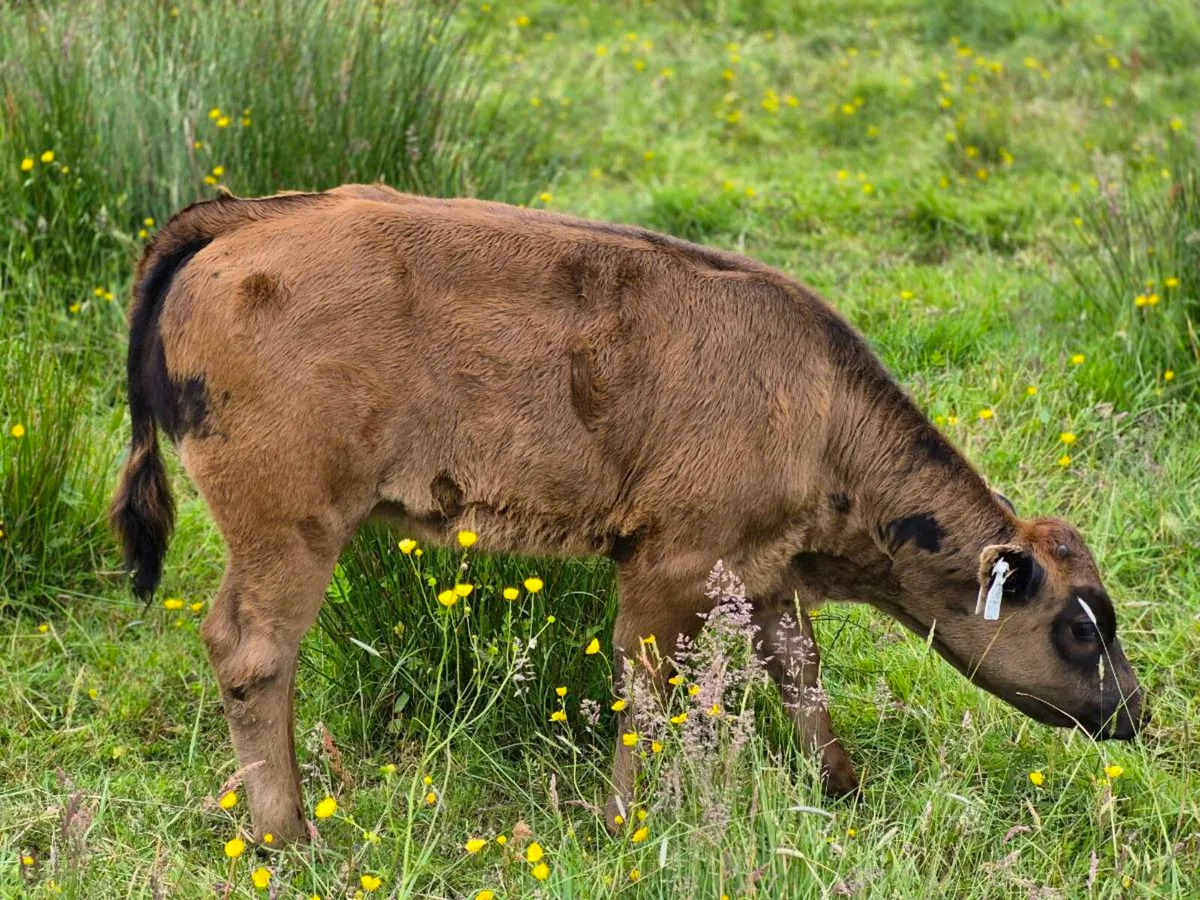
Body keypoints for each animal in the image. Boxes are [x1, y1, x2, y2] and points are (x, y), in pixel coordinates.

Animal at [110, 184, 1145, 843]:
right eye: (1079, 627)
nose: (1134, 711)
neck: (816, 407)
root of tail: (247, 217)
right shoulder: (668, 567)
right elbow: (648, 693)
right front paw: (626, 824)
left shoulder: (760, 572)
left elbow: (799, 674)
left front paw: (843, 787)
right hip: (290, 529)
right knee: (253, 654)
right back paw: (291, 838)